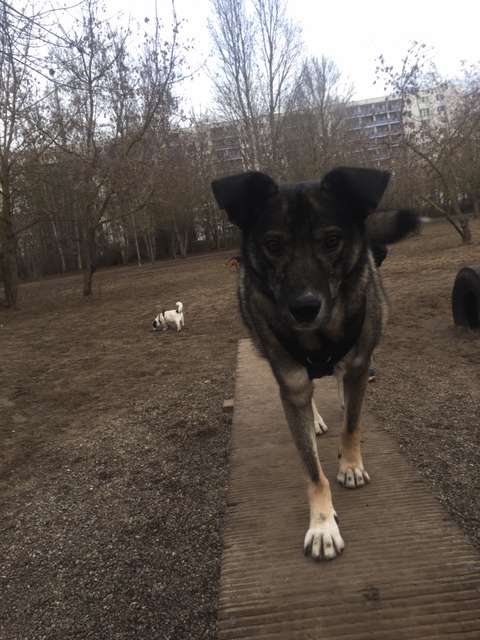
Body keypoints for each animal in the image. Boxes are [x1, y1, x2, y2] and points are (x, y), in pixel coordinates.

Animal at [211, 167, 419, 561]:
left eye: (332, 240)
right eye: (273, 245)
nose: (305, 307)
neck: (320, 336)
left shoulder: (358, 364)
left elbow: (351, 424)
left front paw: (350, 465)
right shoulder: (291, 386)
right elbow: (311, 469)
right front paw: (323, 524)